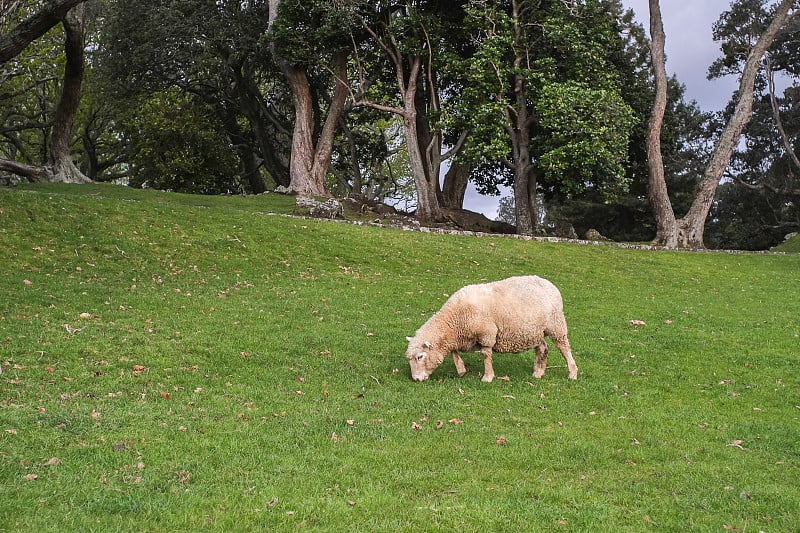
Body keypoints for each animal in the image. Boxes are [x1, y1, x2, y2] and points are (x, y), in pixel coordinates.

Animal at [404, 274, 580, 382]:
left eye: (420, 357)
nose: (416, 379)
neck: (456, 319)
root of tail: (549, 283)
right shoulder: (459, 337)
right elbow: (453, 351)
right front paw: (461, 370)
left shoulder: (486, 334)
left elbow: (486, 355)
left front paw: (487, 377)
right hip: (535, 331)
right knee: (543, 348)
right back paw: (538, 372)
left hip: (556, 325)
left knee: (564, 348)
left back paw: (572, 373)